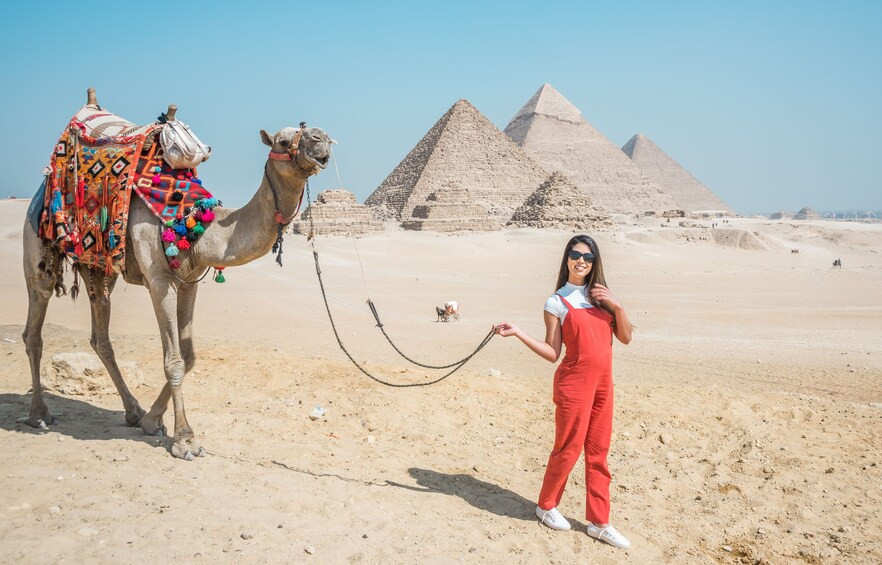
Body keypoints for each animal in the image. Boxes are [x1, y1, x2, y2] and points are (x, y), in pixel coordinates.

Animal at [20, 88, 332, 458]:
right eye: (284, 141)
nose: (321, 139)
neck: (196, 225)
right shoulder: (159, 281)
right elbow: (174, 360)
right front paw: (185, 439)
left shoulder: (189, 281)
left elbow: (190, 355)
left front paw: (151, 421)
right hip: (38, 246)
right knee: (34, 328)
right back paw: (39, 415)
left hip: (100, 269)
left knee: (100, 336)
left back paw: (132, 411)